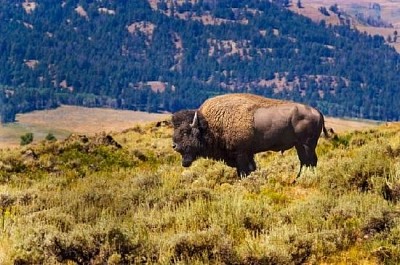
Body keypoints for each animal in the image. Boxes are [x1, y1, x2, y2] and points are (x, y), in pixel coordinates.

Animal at [172, 94, 328, 176]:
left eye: (185, 131)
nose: (174, 146)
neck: (210, 125)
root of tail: (318, 112)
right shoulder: (248, 153)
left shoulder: (241, 153)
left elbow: (244, 171)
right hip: (300, 146)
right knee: (306, 161)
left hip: (306, 145)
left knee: (309, 161)